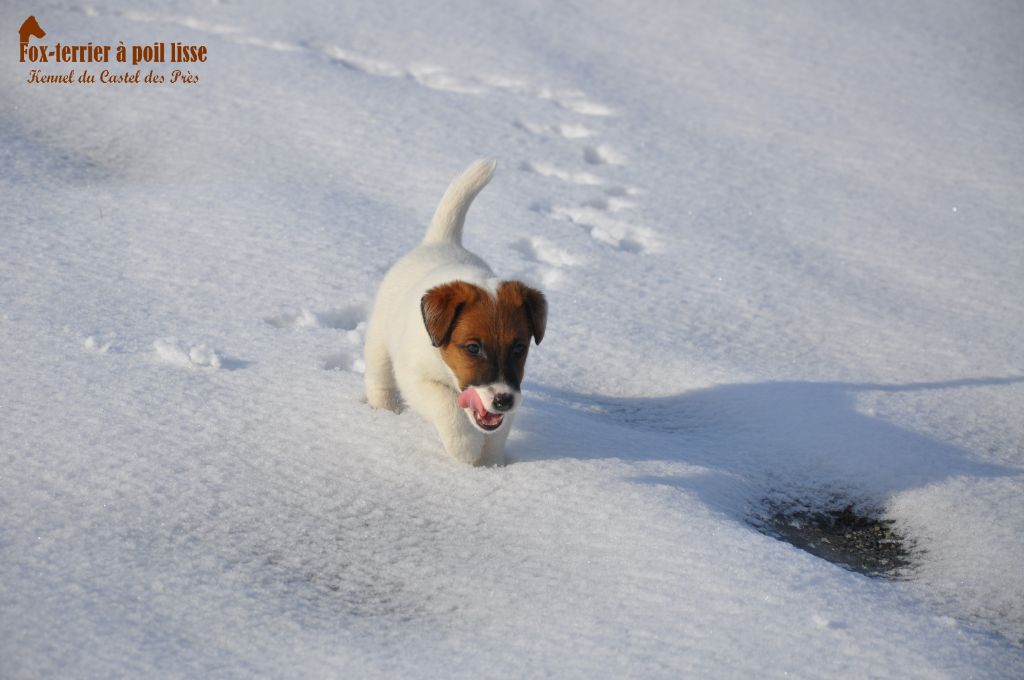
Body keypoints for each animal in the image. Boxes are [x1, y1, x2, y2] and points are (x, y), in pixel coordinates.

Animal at [364, 159, 548, 466]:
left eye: (519, 348)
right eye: (473, 348)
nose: (503, 401)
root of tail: (442, 241)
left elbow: (497, 433)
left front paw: (491, 465)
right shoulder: (416, 378)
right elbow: (447, 406)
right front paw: (466, 448)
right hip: (379, 337)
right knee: (379, 375)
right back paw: (385, 408)